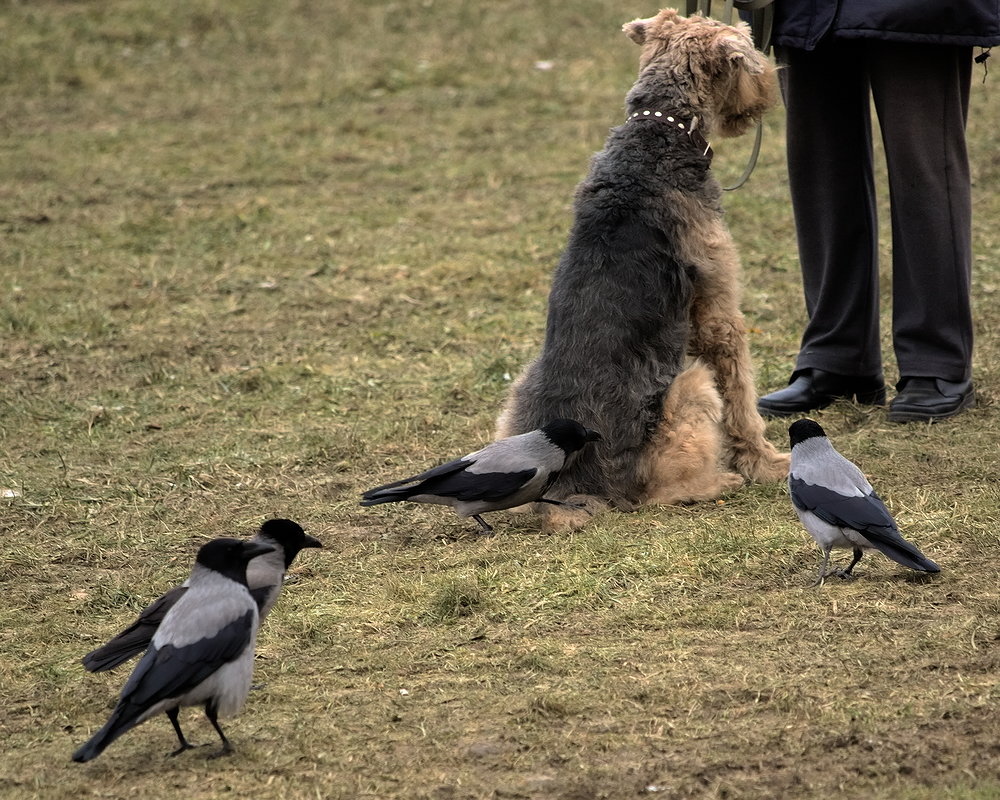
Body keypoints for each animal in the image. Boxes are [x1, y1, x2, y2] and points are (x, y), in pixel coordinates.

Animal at [498, 9, 788, 532]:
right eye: (744, 51)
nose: (769, 83)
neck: (656, 138)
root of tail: (573, 488)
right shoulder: (719, 314)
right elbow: (742, 399)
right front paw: (768, 464)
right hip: (691, 387)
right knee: (658, 493)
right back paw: (721, 481)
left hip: (515, 402)